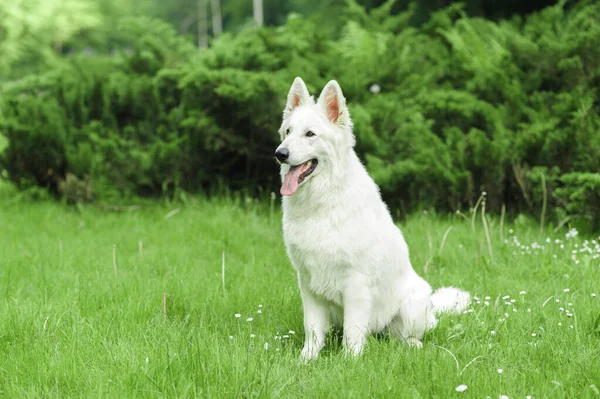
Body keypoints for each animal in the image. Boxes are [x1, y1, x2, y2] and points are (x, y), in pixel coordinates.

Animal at [276, 77, 468, 360]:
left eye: (310, 134)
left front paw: (349, 361)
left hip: (412, 304)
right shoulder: (308, 282)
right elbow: (312, 329)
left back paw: (411, 345)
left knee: (404, 336)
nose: (280, 153)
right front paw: (306, 360)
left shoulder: (356, 284)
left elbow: (353, 331)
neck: (323, 201)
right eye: (288, 132)